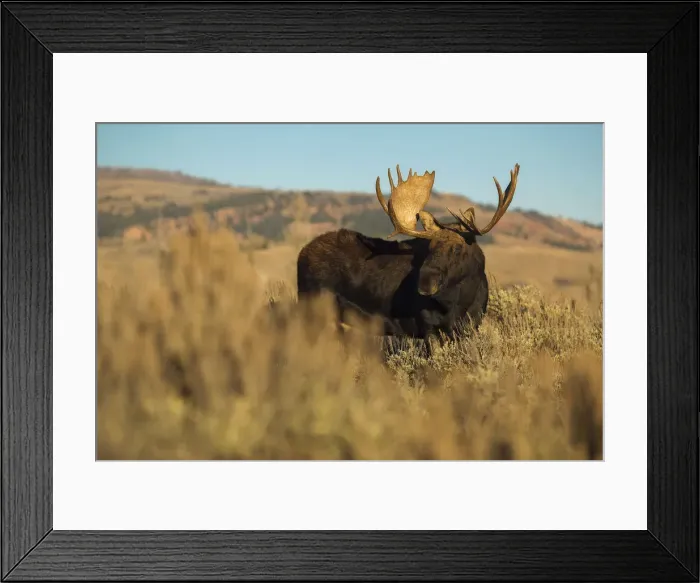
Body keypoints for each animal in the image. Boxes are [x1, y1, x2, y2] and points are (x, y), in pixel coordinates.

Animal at [295, 162, 520, 355]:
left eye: (458, 248)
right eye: (429, 247)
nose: (425, 283)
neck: (461, 301)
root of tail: (301, 254)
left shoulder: (470, 326)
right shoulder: (428, 327)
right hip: (313, 308)